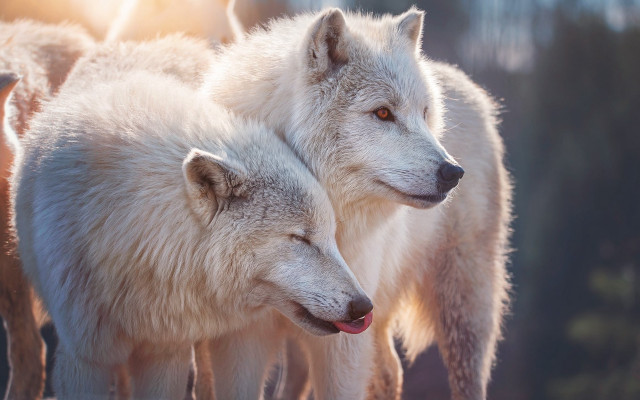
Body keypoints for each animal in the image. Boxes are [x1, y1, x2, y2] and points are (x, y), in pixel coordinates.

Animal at [199, 8, 511, 400]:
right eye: (383, 113)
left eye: (424, 114)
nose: (453, 172)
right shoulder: (240, 339)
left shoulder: (345, 337)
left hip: (464, 307)